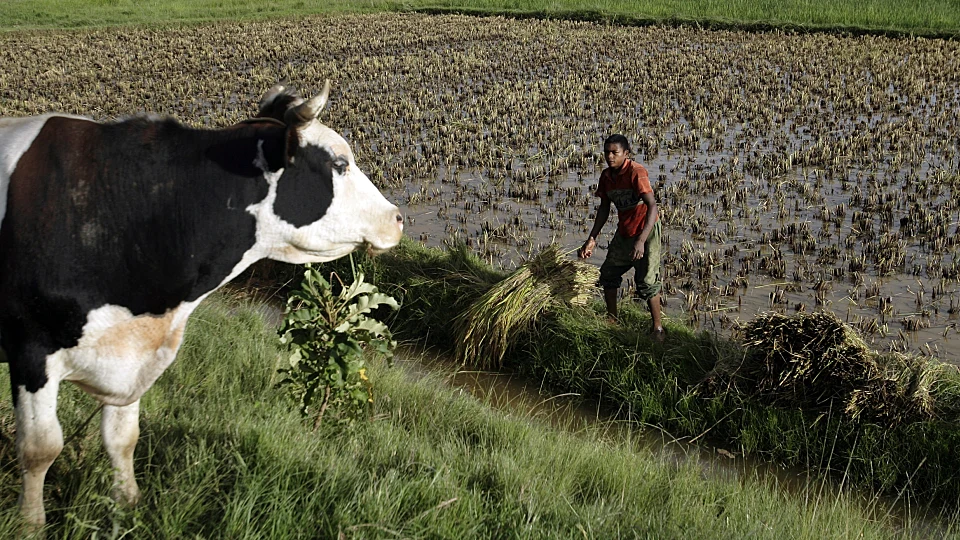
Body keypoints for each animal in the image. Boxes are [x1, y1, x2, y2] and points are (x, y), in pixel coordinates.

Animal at [0, 81, 404, 528]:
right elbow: (40, 449)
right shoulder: (30, 349)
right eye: (339, 163)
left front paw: (129, 503)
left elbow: (122, 438)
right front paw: (30, 525)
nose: (397, 218)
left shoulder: (133, 356)